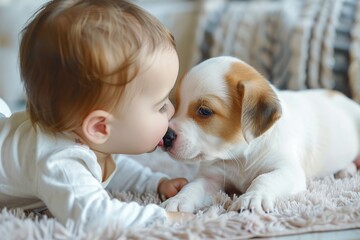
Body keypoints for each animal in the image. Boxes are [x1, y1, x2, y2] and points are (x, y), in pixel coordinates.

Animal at [160, 55, 360, 212]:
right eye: (176, 104)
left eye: (204, 111)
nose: (166, 137)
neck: (240, 157)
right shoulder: (212, 177)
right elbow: (193, 187)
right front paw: (179, 199)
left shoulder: (288, 170)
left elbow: (264, 178)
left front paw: (252, 197)